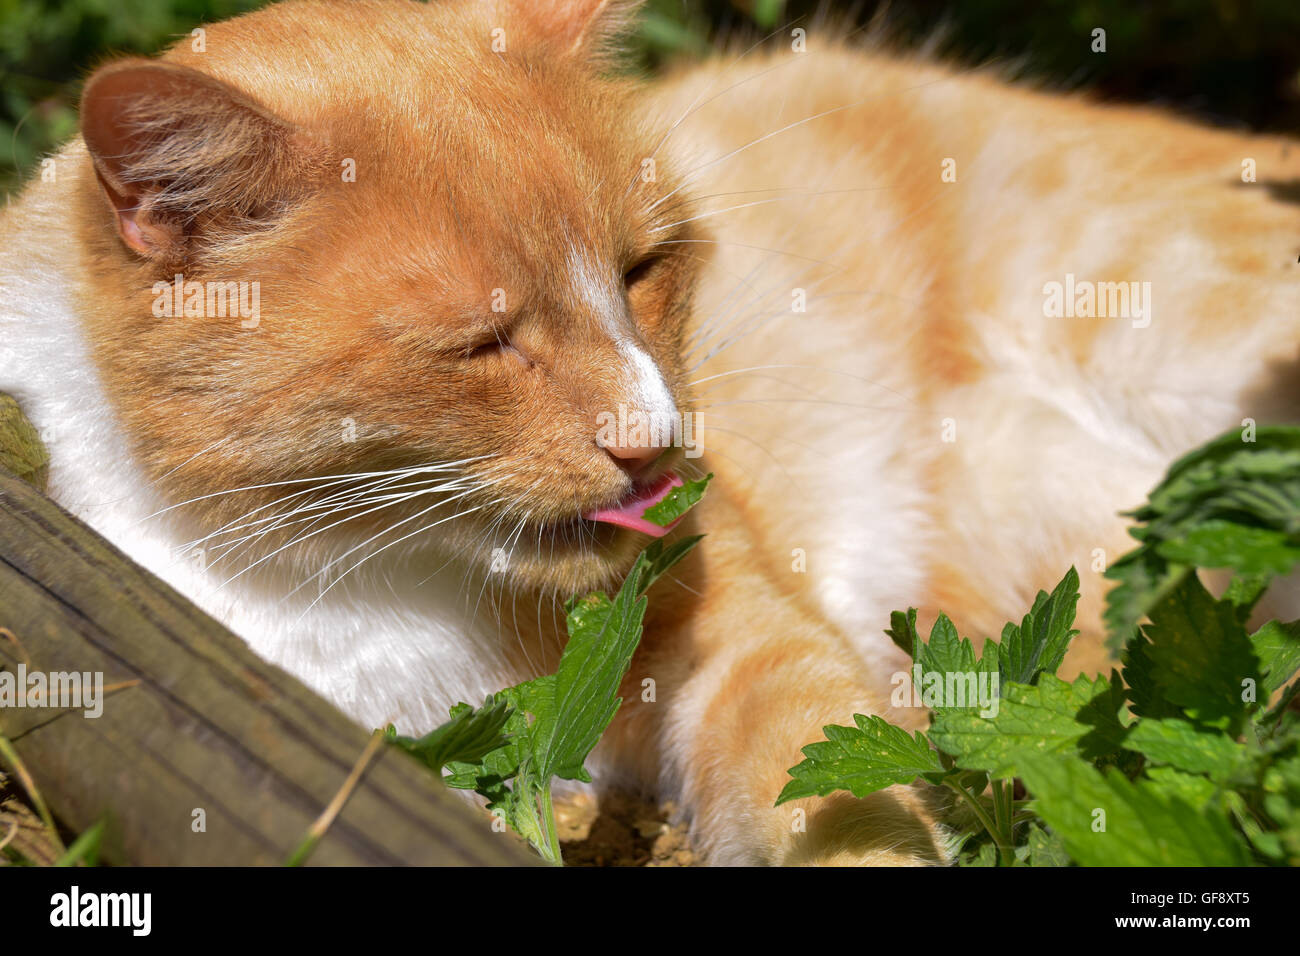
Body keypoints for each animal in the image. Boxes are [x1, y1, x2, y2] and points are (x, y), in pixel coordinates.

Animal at [2, 0, 1300, 868]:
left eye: (641, 270)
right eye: (485, 342)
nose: (656, 441)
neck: (361, 580)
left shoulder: (737, 635)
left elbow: (825, 775)